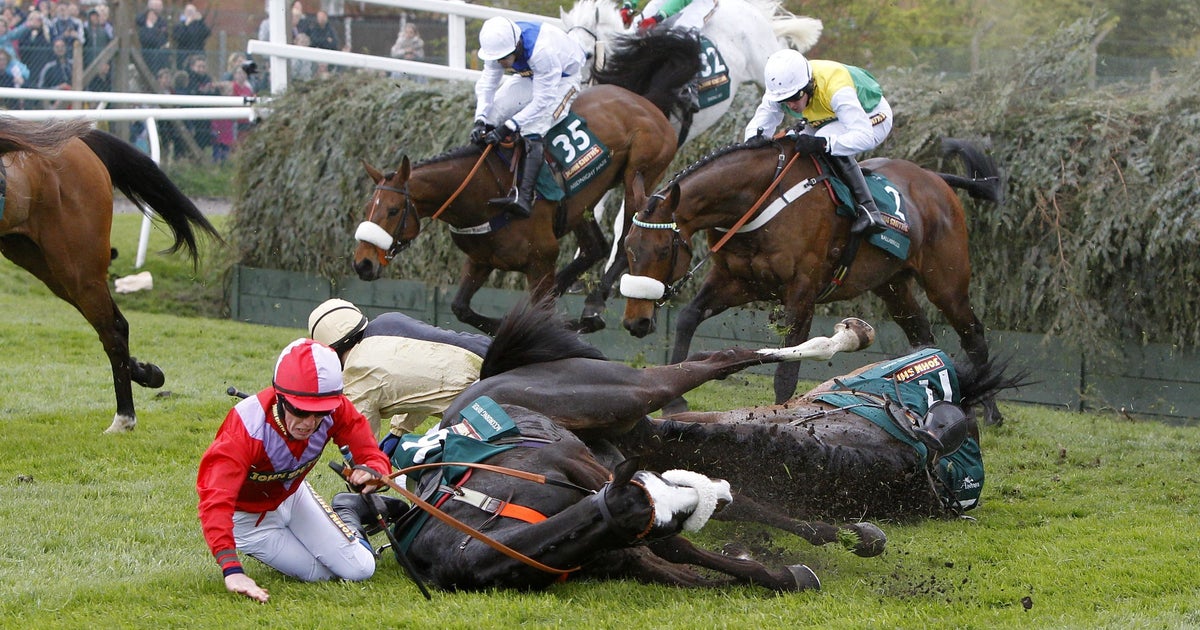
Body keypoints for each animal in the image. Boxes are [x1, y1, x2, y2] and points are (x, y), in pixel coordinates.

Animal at [0, 116, 220, 432]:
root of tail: (79, 142)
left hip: (78, 266)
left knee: (113, 329)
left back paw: (124, 417)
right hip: (41, 260)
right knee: (115, 325)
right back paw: (147, 373)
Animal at [350, 31, 700, 333]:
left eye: (393, 211)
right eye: (368, 208)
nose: (362, 264)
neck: (483, 192)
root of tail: (648, 101)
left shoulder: (540, 261)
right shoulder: (480, 260)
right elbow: (460, 307)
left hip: (640, 174)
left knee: (626, 235)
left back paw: (593, 304)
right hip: (580, 202)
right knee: (595, 246)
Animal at [619, 136, 1003, 422]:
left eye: (663, 250)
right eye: (628, 248)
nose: (636, 322)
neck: (758, 199)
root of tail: (935, 179)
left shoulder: (801, 292)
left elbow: (787, 367)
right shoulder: (735, 280)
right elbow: (688, 317)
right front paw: (675, 399)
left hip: (946, 283)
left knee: (973, 334)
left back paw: (989, 409)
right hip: (892, 285)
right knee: (921, 333)